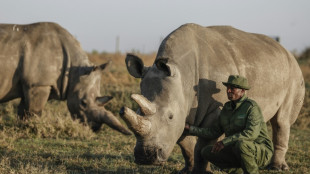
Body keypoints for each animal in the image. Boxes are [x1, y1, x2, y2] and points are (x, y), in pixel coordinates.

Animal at [0, 22, 131, 135]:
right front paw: (32, 128)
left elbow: (23, 110)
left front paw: (22, 127)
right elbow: (34, 111)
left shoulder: (30, 83)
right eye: (83, 102)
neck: (73, 70)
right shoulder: (39, 84)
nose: (95, 127)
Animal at [120, 23, 306, 173]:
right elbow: (186, 143)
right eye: (136, 111)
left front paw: (200, 172)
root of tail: (286, 51)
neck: (183, 75)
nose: (145, 157)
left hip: (294, 73)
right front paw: (187, 170)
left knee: (281, 121)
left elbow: (203, 144)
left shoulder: (215, 110)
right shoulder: (183, 109)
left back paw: (277, 168)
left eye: (170, 116)